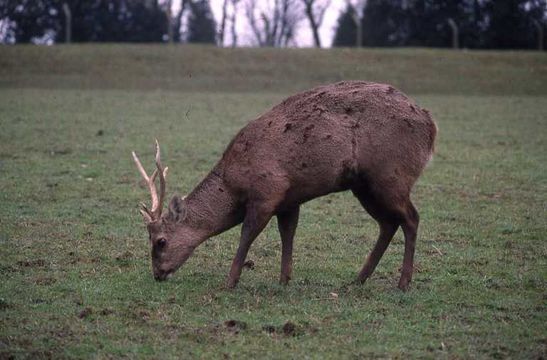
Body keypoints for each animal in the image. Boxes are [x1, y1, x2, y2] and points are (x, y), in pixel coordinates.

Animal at [132, 81, 436, 290]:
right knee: (388, 223)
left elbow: (246, 236)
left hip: (391, 175)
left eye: (160, 241)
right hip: (364, 186)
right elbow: (287, 234)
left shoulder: (268, 191)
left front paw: (230, 282)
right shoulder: (290, 199)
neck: (233, 185)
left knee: (411, 218)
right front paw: (284, 279)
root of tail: (431, 126)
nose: (158, 273)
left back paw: (403, 282)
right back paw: (358, 279)